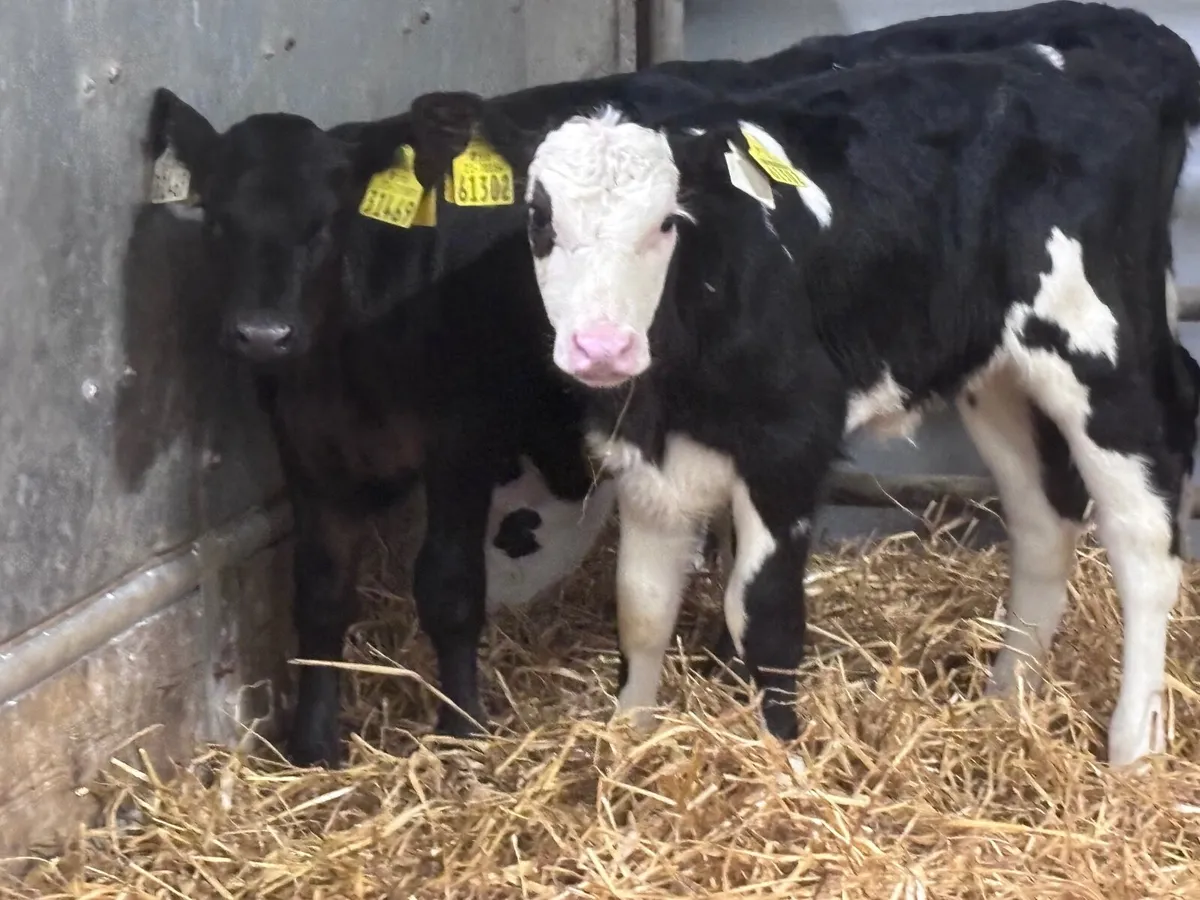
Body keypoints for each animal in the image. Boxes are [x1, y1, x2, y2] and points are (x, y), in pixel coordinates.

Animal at [409, 41, 1197, 767]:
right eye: (539, 219)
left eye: (666, 222)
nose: (601, 346)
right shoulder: (643, 456)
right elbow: (640, 607)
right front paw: (626, 743)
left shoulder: (788, 445)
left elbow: (763, 617)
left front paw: (781, 760)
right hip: (996, 373)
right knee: (1042, 523)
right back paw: (1007, 698)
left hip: (1103, 357)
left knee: (1143, 542)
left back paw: (1133, 747)